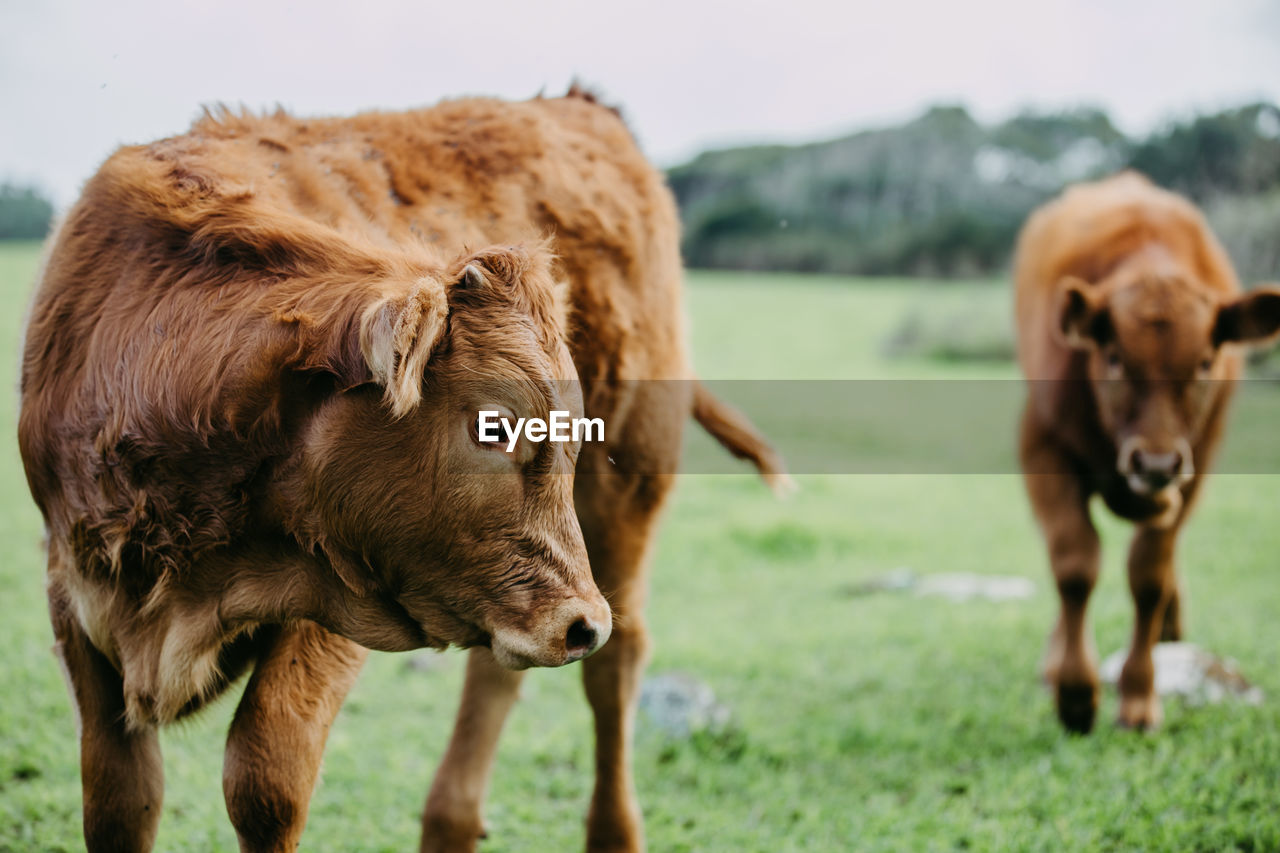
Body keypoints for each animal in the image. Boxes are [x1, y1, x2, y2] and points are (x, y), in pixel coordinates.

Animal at [17, 86, 788, 850]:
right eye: (495, 425)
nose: (580, 622)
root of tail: (580, 105)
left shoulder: (340, 588)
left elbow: (265, 778)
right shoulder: (73, 593)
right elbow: (120, 798)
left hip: (625, 499)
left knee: (616, 664)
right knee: (503, 668)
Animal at [1013, 171, 1274, 732]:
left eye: (1205, 362)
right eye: (1114, 357)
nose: (1154, 463)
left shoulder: (1196, 464)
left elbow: (1148, 575)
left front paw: (1138, 697)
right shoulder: (1042, 447)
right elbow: (1074, 563)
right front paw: (1075, 693)